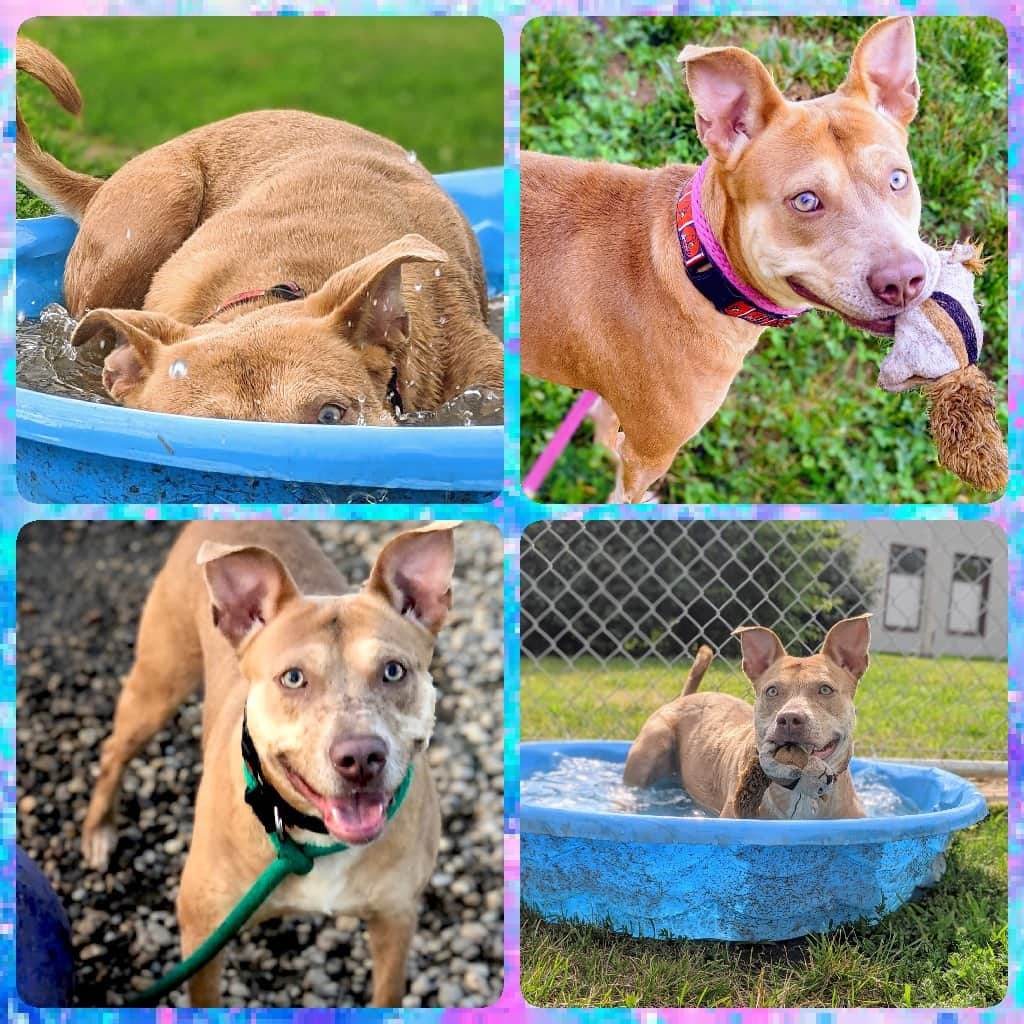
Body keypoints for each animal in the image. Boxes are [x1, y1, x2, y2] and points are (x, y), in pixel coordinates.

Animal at [81, 524, 458, 1003]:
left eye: (394, 670)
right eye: (293, 678)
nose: (360, 758)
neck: (313, 837)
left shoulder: (396, 919)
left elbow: (387, 995)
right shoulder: (203, 932)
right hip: (157, 685)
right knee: (114, 750)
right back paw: (99, 830)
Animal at [524, 14, 937, 497]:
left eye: (898, 179)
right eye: (805, 201)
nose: (904, 281)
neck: (697, 269)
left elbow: (607, 429)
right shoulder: (650, 453)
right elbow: (624, 494)